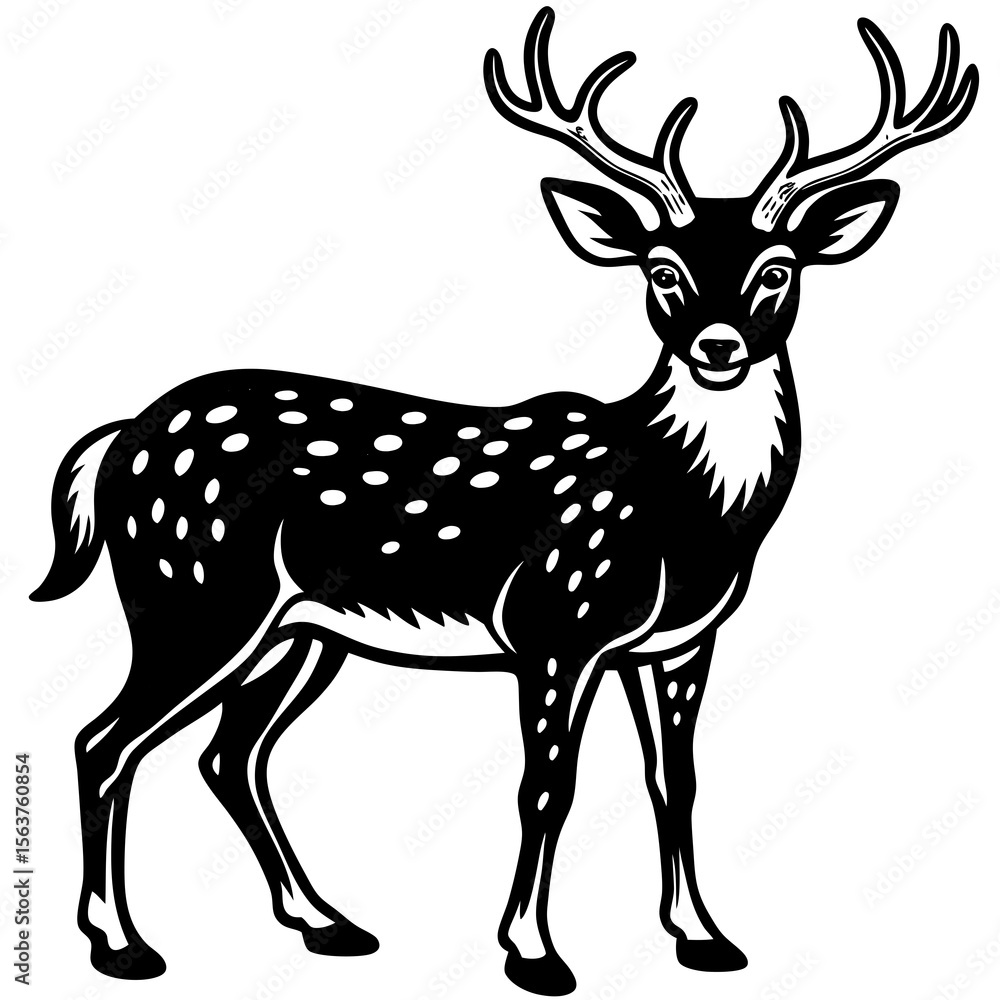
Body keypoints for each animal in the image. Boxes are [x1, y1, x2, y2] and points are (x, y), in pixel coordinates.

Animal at [31, 8, 977, 996]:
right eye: (663, 270)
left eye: (780, 270)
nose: (718, 346)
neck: (691, 513)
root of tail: (118, 438)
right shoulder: (555, 622)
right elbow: (547, 787)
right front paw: (533, 952)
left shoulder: (683, 640)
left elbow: (675, 778)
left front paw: (705, 937)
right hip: (192, 593)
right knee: (105, 742)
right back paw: (122, 944)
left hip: (299, 632)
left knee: (228, 754)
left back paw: (328, 924)